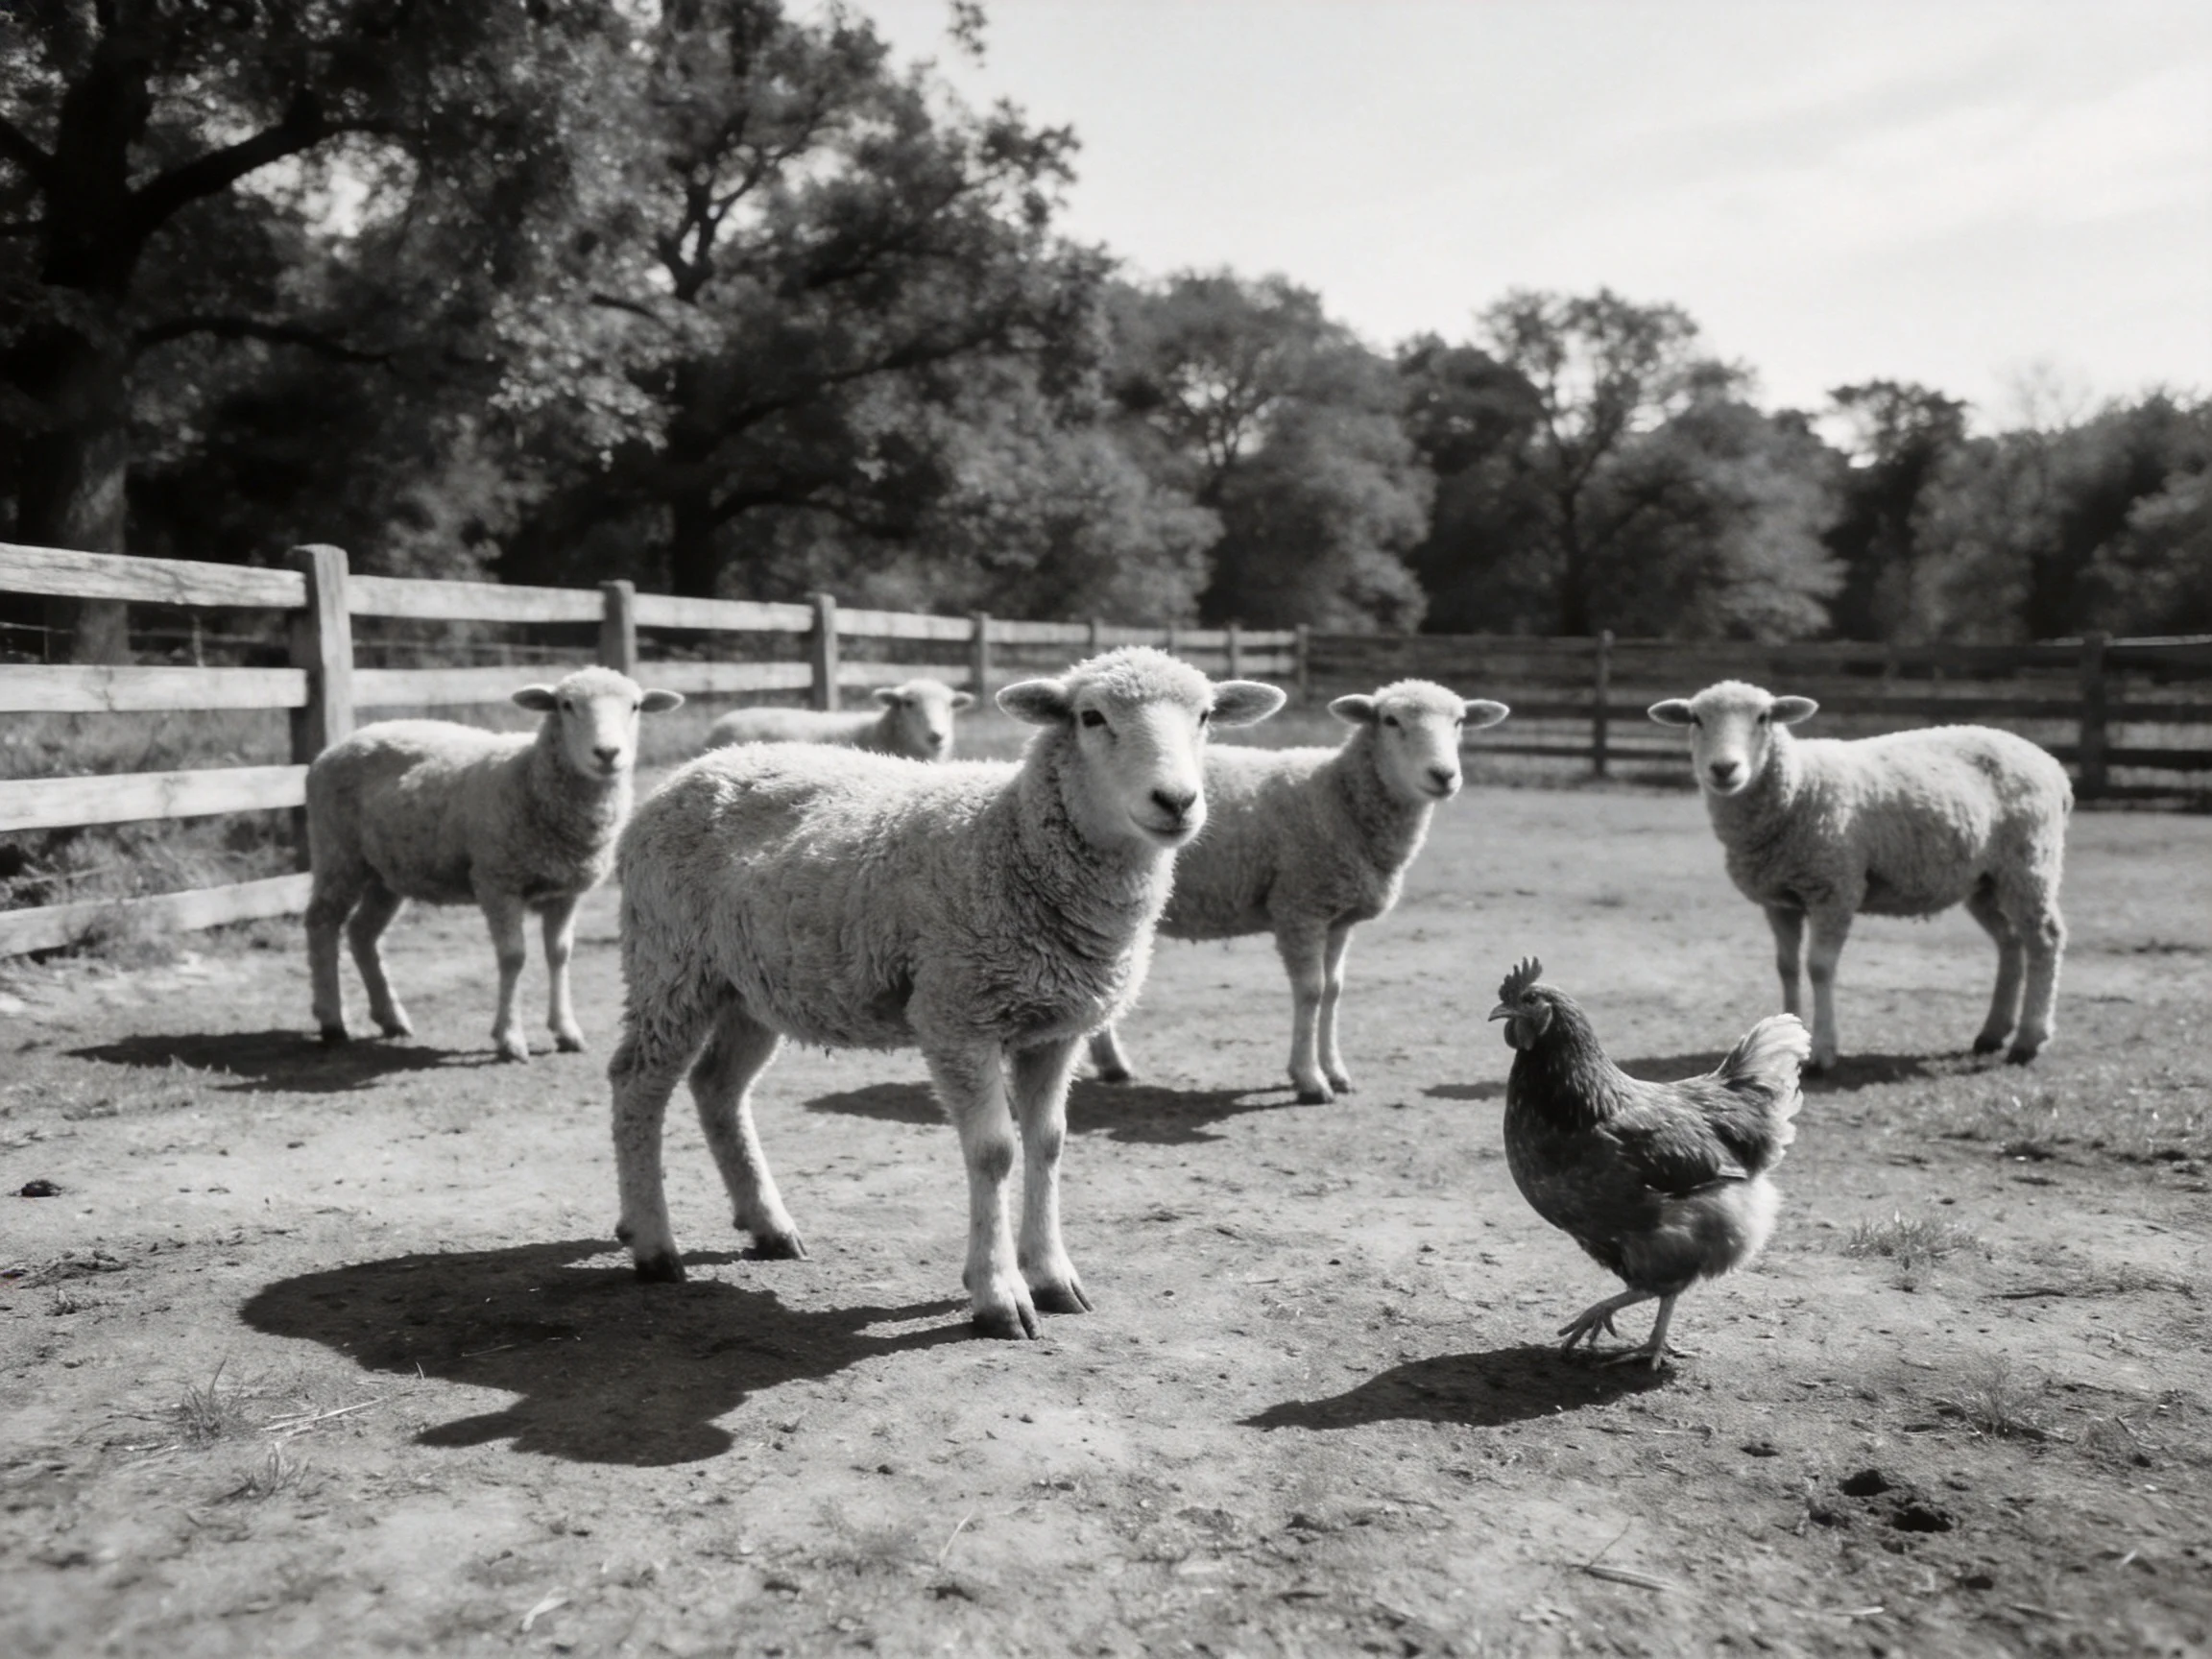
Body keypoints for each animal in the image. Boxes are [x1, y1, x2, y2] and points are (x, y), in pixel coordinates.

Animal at [304, 666, 684, 1061]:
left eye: (635, 706)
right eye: (566, 705)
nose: (608, 753)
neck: (529, 775)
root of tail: (336, 747)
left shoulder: (565, 891)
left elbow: (560, 955)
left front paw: (566, 1030)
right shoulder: (498, 881)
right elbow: (514, 957)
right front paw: (510, 1038)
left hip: (387, 872)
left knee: (362, 933)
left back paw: (391, 1018)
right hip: (337, 851)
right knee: (322, 922)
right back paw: (332, 1020)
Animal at [1088, 680, 1510, 1103]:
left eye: (1459, 722)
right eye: (1391, 720)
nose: (1443, 775)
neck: (1339, 795)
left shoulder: (1338, 917)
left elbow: (1334, 990)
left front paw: (1335, 1071)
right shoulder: (1300, 905)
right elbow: (1311, 991)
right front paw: (1309, 1079)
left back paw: (1112, 1065)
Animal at [1648, 679, 2071, 1070]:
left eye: (1764, 717)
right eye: (1696, 719)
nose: (1724, 769)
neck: (1800, 785)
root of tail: (2052, 764)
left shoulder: (1834, 888)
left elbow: (1819, 967)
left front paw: (1822, 1052)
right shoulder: (1779, 900)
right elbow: (1786, 968)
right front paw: (1788, 1040)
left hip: (2028, 863)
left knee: (2044, 940)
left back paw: (2029, 1040)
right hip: (1985, 881)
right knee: (2010, 942)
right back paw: (1992, 1034)